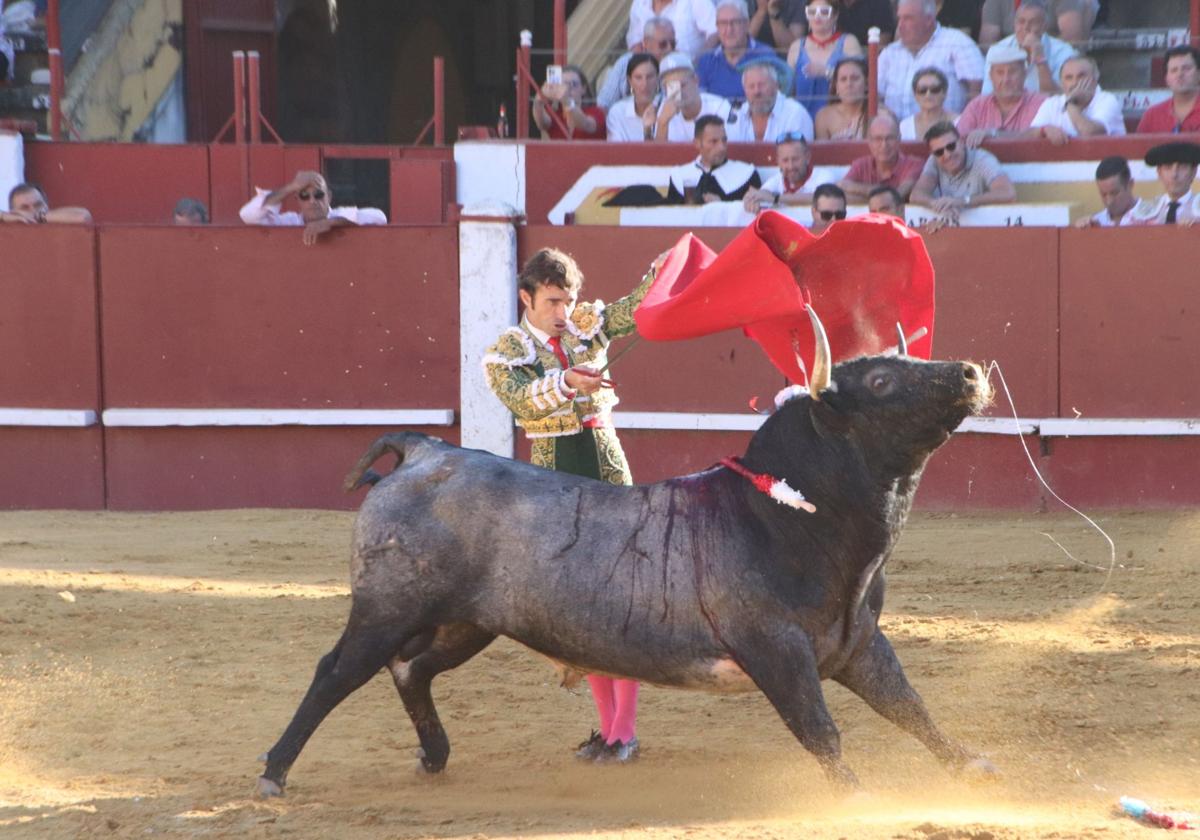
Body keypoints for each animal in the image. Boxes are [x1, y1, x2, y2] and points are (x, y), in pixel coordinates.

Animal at [258, 314, 998, 792]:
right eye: (878, 382)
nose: (969, 371)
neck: (788, 514)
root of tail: (426, 449)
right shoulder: (777, 649)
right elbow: (822, 729)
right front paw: (854, 795)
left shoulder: (856, 641)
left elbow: (908, 706)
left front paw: (970, 765)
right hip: (387, 608)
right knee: (337, 671)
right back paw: (274, 772)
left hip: (470, 621)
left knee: (411, 670)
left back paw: (435, 755)